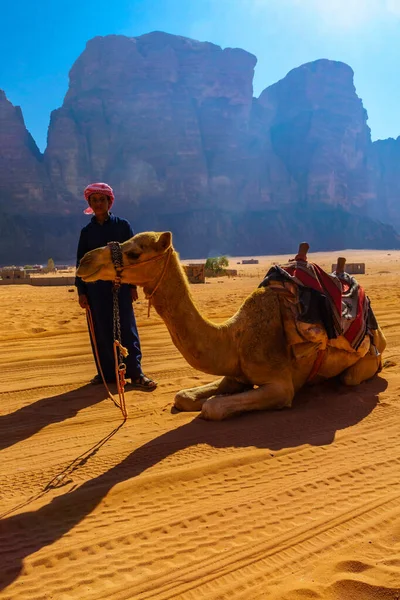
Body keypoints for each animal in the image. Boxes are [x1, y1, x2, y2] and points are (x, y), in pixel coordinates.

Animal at [76, 231, 386, 422]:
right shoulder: (235, 374)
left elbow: (212, 406)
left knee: (350, 377)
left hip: (365, 361)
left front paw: (212, 402)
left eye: (134, 253)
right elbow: (183, 396)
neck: (234, 339)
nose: (84, 261)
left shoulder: (281, 386)